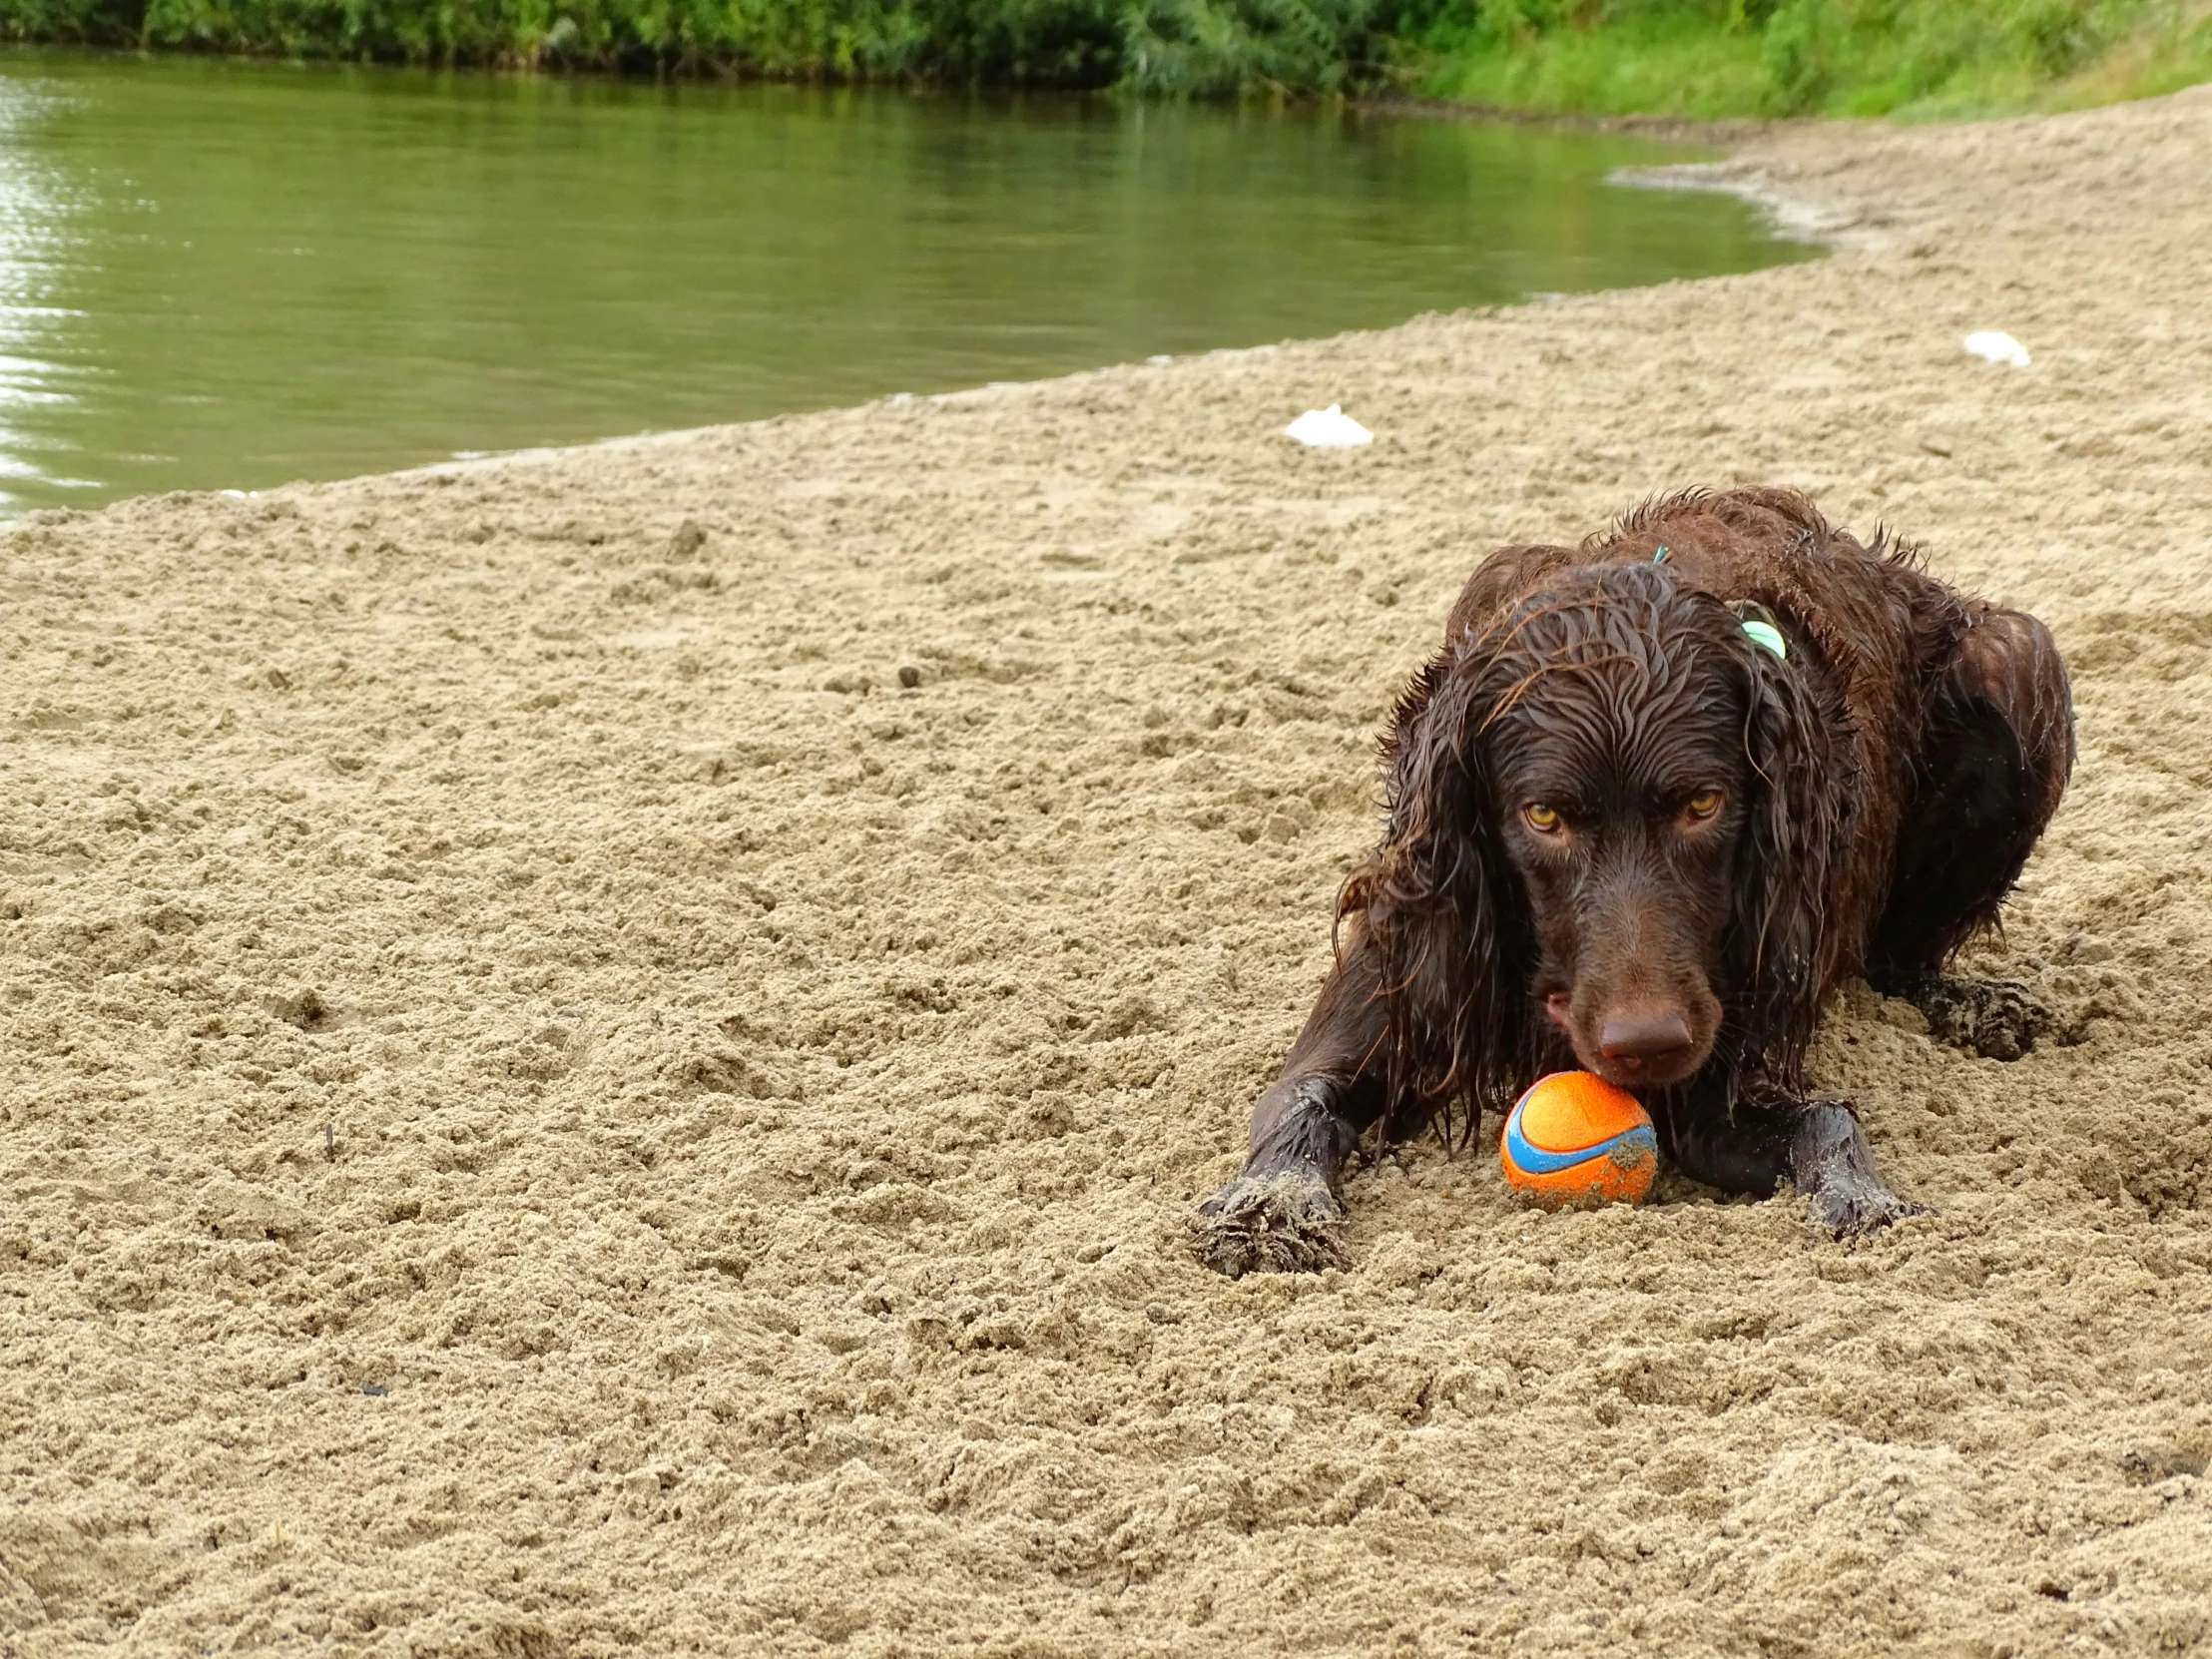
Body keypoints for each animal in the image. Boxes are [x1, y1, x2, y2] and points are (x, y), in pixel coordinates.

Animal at [1194, 486, 2070, 1283]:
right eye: (1544, 815)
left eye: (1702, 805)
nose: (1646, 1045)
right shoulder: (1402, 962)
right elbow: (1302, 1103)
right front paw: (1270, 1211)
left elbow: (1822, 1119)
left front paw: (1863, 1199)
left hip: (2018, 657)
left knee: (1898, 960)